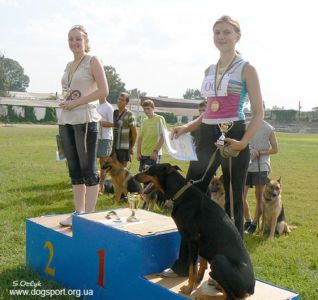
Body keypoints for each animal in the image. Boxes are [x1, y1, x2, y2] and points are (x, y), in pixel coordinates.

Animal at [134, 164, 256, 300]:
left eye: (150, 170)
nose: (134, 176)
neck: (180, 192)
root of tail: (251, 289)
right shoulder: (199, 242)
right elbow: (200, 263)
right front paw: (198, 279)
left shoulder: (193, 239)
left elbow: (192, 268)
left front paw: (188, 289)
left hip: (218, 260)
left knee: (229, 297)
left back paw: (205, 296)